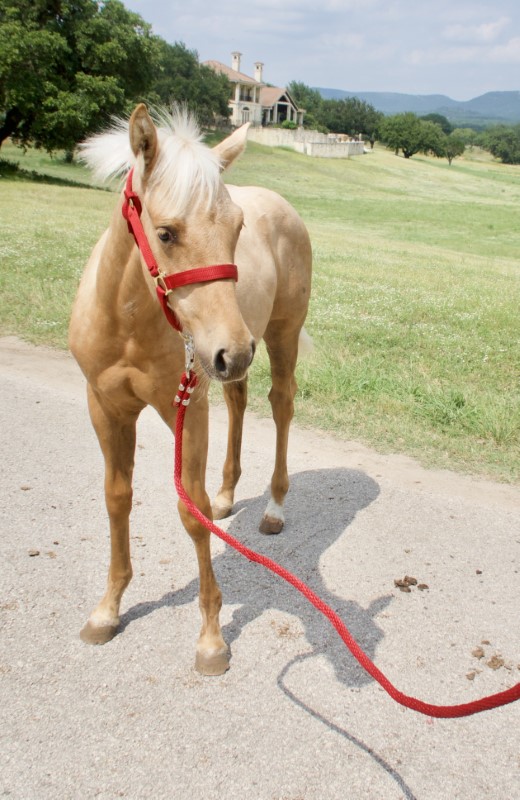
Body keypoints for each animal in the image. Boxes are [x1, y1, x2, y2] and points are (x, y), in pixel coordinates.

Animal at [70, 101, 312, 676]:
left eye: (238, 226)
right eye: (165, 233)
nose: (235, 350)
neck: (128, 321)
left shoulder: (188, 407)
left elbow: (190, 510)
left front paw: (210, 639)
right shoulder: (106, 406)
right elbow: (117, 498)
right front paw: (108, 609)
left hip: (280, 337)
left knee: (282, 405)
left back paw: (273, 507)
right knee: (240, 402)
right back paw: (228, 495)